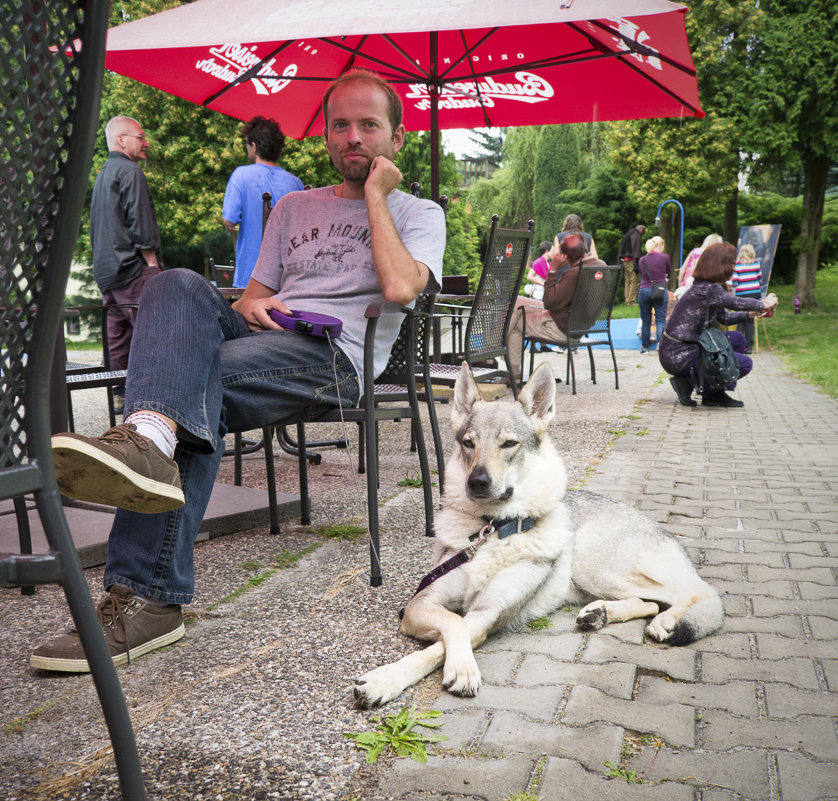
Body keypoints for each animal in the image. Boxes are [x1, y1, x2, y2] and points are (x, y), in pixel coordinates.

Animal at [352, 362, 720, 708]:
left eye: (508, 444)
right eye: (469, 444)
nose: (477, 482)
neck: (493, 530)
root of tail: (658, 526)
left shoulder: (486, 615)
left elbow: (449, 635)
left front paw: (443, 671)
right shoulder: (421, 604)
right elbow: (451, 623)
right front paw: (391, 679)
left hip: (594, 565)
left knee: (697, 594)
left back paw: (668, 621)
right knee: (648, 603)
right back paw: (599, 614)